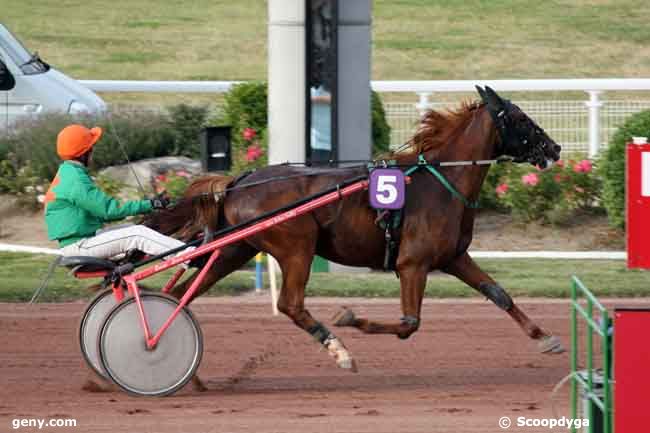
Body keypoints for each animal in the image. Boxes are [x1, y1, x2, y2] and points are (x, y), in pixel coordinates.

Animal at [144, 85, 560, 372]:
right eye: (521, 118)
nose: (554, 148)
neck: (442, 182)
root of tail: (238, 181)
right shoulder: (413, 263)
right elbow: (409, 324)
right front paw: (349, 318)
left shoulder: (453, 256)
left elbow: (499, 294)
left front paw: (546, 338)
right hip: (297, 246)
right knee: (289, 304)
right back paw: (339, 349)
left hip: (235, 249)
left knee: (180, 296)